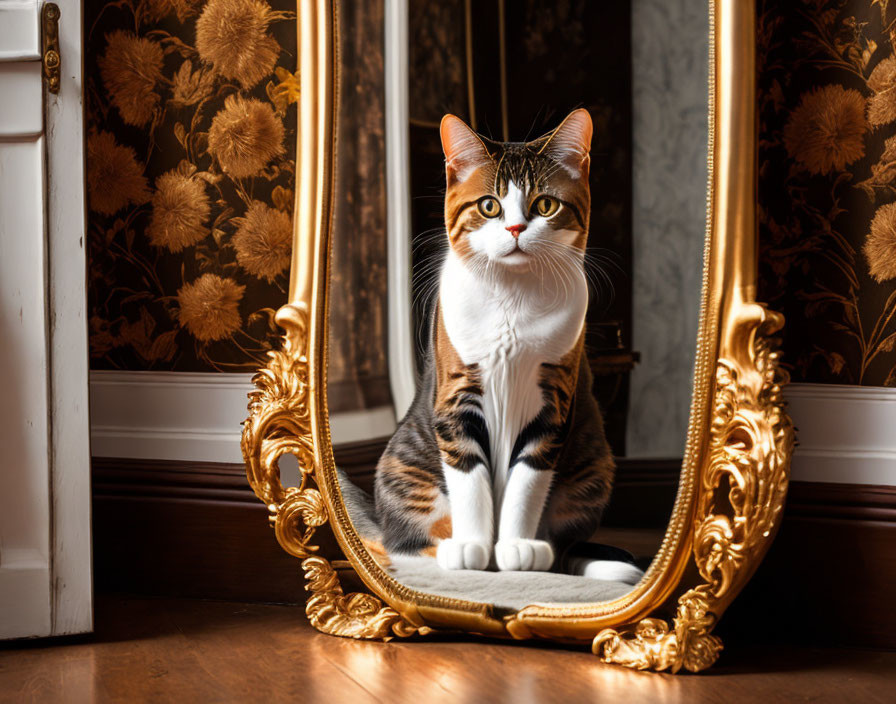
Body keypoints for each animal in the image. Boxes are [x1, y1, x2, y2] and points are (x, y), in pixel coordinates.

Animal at [374, 110, 640, 584]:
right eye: (489, 206)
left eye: (545, 205)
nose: (515, 228)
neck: (512, 298)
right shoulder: (457, 391)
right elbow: (468, 474)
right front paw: (473, 548)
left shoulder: (554, 399)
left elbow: (528, 478)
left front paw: (517, 547)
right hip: (403, 465)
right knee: (401, 539)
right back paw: (441, 549)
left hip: (593, 465)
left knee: (567, 541)